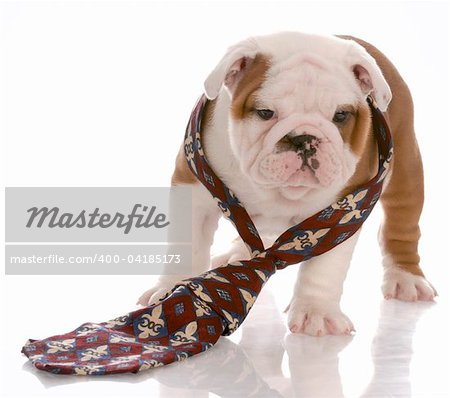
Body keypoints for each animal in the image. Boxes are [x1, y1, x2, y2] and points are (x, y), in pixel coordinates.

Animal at [139, 31, 438, 336]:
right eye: (265, 112)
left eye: (341, 116)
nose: (304, 138)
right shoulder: (194, 190)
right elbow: (187, 244)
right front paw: (168, 289)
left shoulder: (344, 212)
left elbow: (325, 269)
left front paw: (316, 313)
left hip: (405, 169)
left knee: (401, 227)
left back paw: (406, 278)